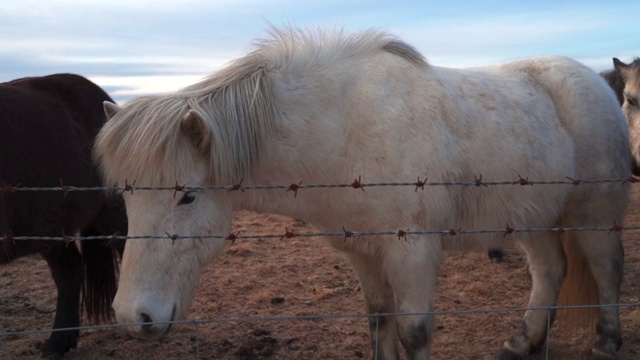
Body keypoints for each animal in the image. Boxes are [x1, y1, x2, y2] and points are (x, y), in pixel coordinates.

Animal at [95, 26, 632, 358]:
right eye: (127, 199)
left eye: (186, 196)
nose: (132, 315)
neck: (347, 129)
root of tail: (596, 84)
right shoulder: (363, 253)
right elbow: (379, 322)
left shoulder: (414, 253)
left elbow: (414, 332)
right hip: (532, 216)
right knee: (550, 270)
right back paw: (523, 342)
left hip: (594, 213)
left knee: (606, 268)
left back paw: (607, 342)